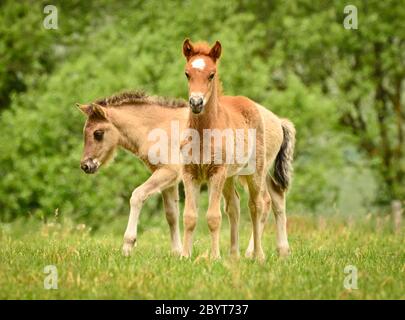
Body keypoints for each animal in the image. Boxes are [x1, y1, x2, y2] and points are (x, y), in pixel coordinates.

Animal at [181, 40, 296, 260]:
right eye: (187, 73)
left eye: (212, 74)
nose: (196, 103)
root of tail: (277, 120)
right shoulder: (189, 172)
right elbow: (190, 216)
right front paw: (184, 256)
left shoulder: (217, 172)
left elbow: (213, 216)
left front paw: (214, 258)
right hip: (233, 175)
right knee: (240, 204)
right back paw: (242, 254)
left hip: (256, 172)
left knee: (258, 205)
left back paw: (258, 255)